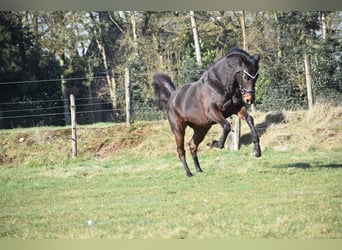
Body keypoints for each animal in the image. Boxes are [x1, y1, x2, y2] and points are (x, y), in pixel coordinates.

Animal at [154, 47, 260, 176]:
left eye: (257, 77)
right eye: (246, 77)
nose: (250, 99)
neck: (221, 84)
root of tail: (172, 97)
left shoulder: (237, 109)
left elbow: (250, 119)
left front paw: (256, 151)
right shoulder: (213, 112)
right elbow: (226, 126)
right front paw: (215, 144)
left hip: (201, 129)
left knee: (192, 145)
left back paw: (199, 170)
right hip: (178, 130)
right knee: (181, 150)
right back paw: (189, 173)